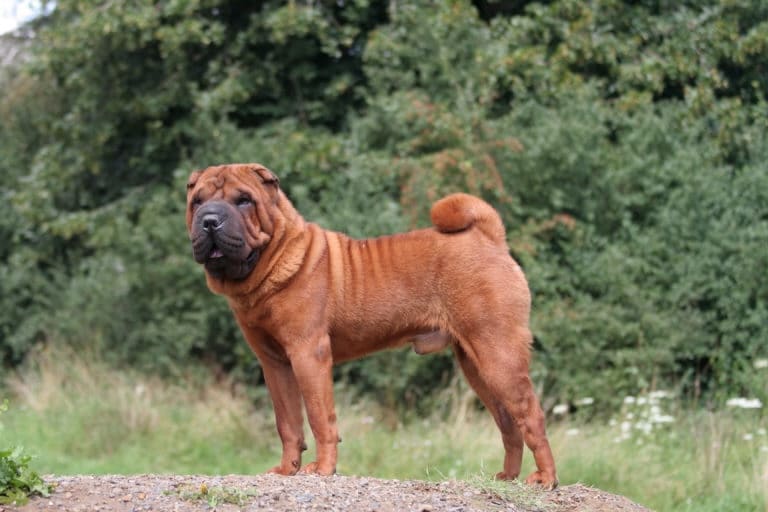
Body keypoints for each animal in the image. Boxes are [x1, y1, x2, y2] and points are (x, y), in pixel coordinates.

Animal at [186, 163, 560, 488]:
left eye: (243, 200)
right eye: (197, 201)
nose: (210, 220)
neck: (271, 261)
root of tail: (488, 237)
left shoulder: (308, 354)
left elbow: (321, 418)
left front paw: (322, 469)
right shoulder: (275, 363)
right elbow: (288, 422)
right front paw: (286, 470)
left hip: (498, 353)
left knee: (532, 415)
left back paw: (545, 479)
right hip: (477, 364)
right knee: (508, 422)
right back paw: (507, 477)